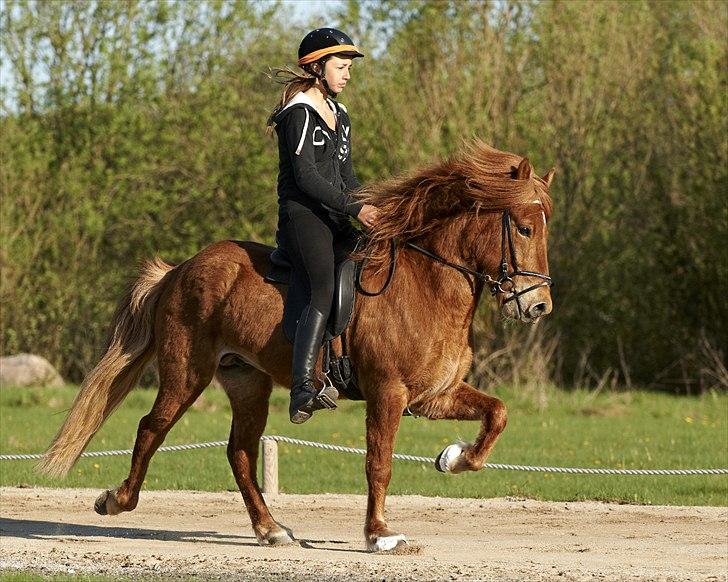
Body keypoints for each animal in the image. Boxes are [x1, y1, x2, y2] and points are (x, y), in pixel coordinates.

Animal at [38, 140, 552, 552]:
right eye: (524, 228)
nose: (538, 305)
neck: (427, 281)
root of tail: (181, 269)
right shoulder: (388, 394)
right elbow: (379, 464)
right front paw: (380, 535)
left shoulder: (432, 396)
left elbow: (498, 414)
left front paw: (453, 458)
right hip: (186, 373)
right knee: (152, 428)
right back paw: (115, 501)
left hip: (247, 381)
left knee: (240, 452)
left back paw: (271, 530)